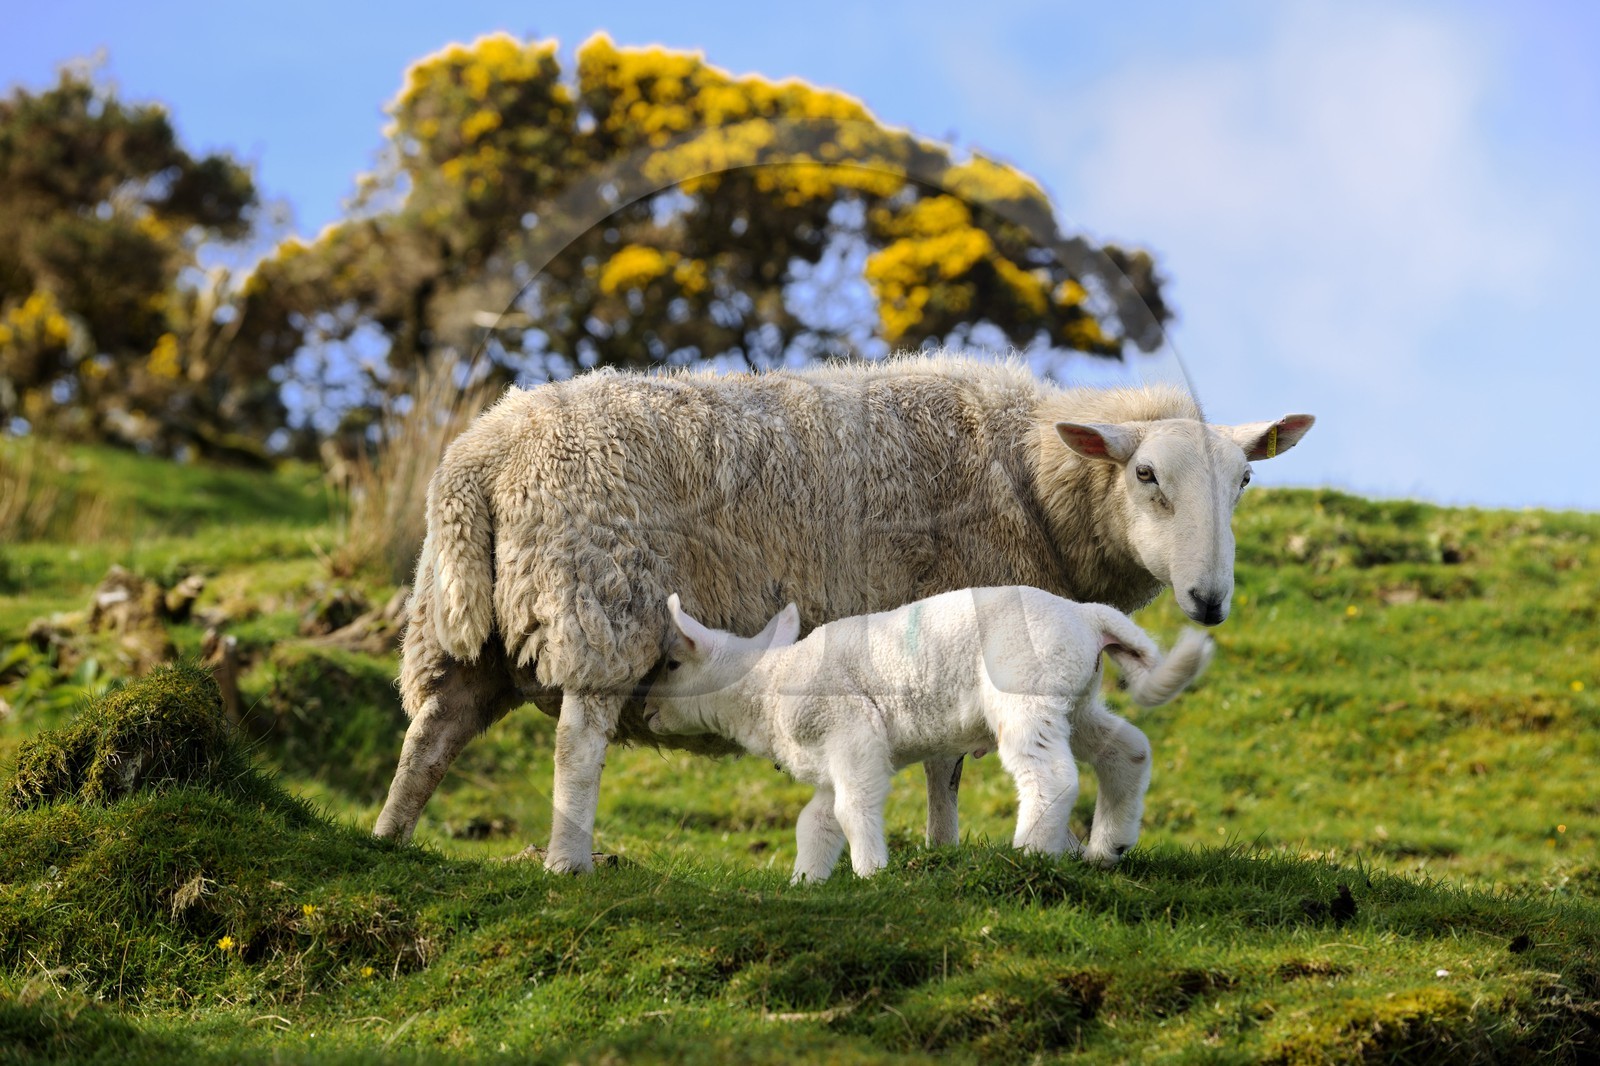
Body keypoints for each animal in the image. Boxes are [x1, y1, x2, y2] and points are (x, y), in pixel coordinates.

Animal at [645, 589, 1214, 881]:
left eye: (671, 664)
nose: (645, 709)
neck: (766, 686)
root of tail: (1089, 616)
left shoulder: (852, 731)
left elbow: (853, 808)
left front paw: (871, 872)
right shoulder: (834, 762)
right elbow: (817, 822)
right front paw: (807, 881)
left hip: (1025, 690)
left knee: (1052, 776)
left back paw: (1031, 852)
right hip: (1074, 698)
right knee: (1127, 750)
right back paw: (1108, 847)